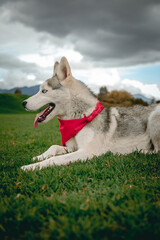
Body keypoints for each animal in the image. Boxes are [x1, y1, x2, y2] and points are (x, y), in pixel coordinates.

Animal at [21, 57, 159, 172]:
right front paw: (39, 157)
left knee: (156, 151)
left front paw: (31, 167)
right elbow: (53, 146)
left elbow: (55, 159)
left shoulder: (87, 151)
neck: (81, 117)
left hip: (154, 117)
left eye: (44, 91)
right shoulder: (73, 148)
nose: (23, 103)